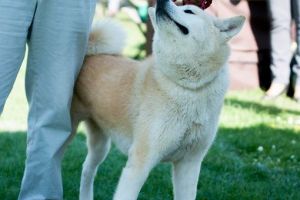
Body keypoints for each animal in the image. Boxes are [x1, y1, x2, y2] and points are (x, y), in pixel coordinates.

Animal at [71, 0, 245, 199]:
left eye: (189, 11)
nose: (161, 1)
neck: (187, 88)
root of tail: (89, 55)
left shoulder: (190, 164)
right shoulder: (140, 163)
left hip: (100, 144)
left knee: (87, 170)